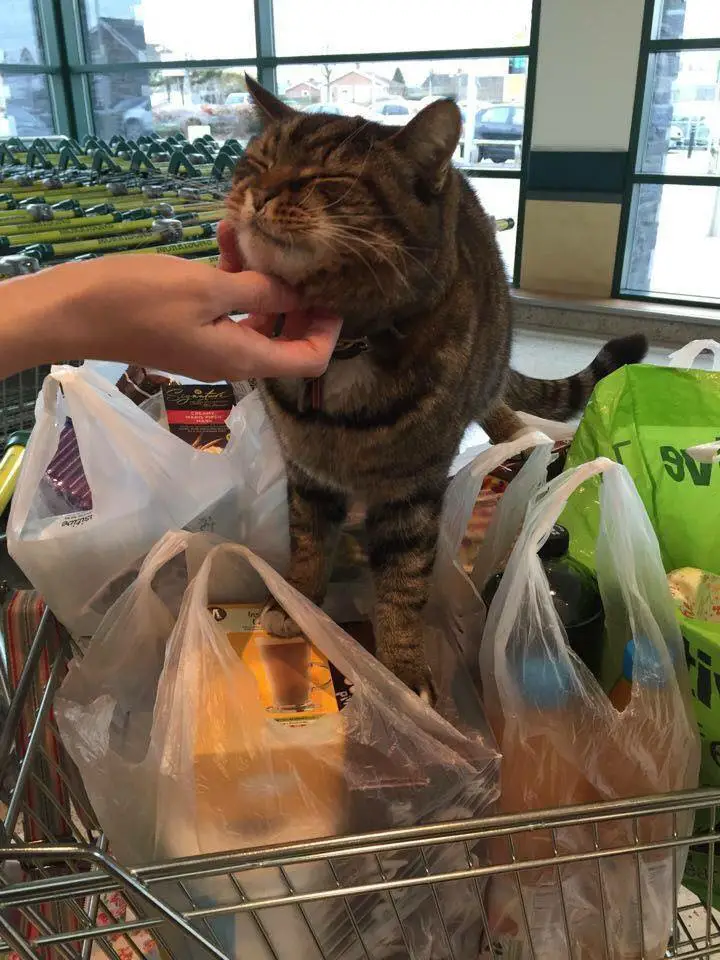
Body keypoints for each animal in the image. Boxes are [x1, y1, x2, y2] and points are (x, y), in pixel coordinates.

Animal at [226, 75, 648, 700]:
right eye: (254, 163)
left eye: (325, 180)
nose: (257, 193)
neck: (347, 347)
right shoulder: (306, 472)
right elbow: (306, 537)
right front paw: (294, 600)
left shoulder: (413, 491)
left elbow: (404, 582)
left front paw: (401, 671)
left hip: (490, 366)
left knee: (500, 404)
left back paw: (522, 443)